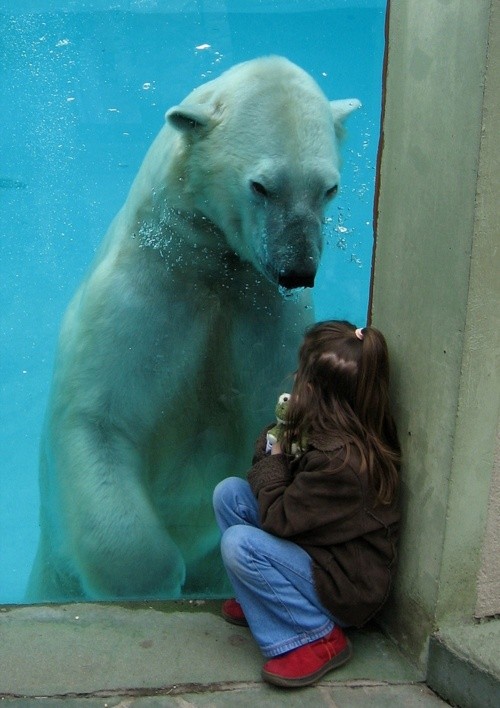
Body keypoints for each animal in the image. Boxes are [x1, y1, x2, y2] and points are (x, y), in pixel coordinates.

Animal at [26, 55, 360, 600]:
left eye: (328, 188)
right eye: (261, 186)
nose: (298, 270)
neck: (209, 262)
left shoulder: (265, 310)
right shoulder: (145, 294)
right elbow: (101, 418)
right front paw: (153, 581)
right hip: (51, 573)